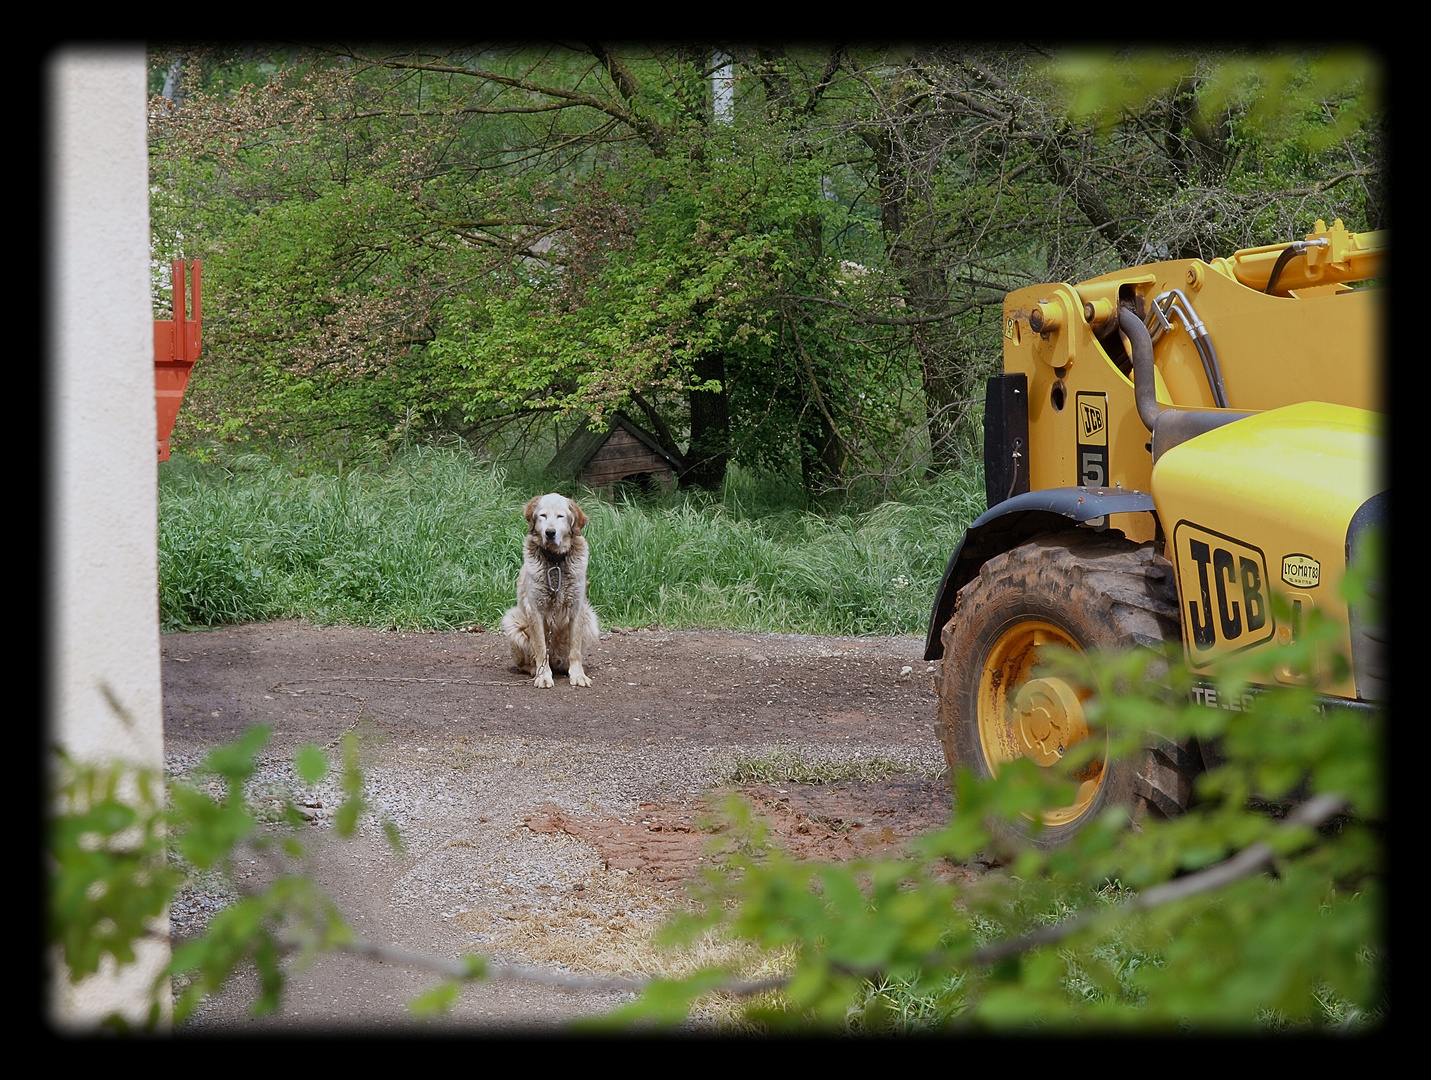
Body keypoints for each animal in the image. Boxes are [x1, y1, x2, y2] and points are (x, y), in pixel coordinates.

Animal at [497, 494, 598, 689]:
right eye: (542, 515)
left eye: (560, 516)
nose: (550, 533)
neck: (555, 562)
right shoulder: (535, 610)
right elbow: (541, 648)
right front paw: (543, 676)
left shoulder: (577, 608)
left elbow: (575, 649)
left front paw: (578, 675)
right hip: (513, 621)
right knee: (526, 662)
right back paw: (535, 670)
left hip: (590, 619)